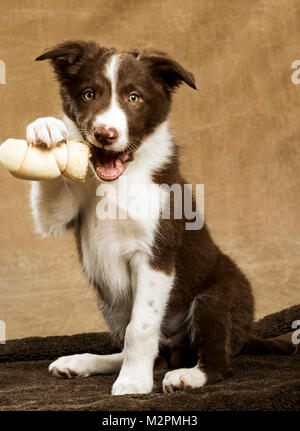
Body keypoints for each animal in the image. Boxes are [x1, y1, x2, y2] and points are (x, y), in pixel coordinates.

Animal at [27, 40, 294, 394]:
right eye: (88, 94)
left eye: (134, 97)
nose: (104, 134)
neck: (122, 177)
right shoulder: (63, 213)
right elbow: (51, 203)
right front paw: (46, 128)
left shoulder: (156, 254)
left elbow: (140, 328)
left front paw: (132, 383)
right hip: (109, 302)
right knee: (154, 355)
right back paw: (83, 362)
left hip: (215, 297)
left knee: (216, 362)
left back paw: (189, 375)